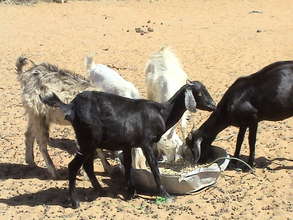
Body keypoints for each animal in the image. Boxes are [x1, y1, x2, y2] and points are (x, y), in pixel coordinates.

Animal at [40, 80, 216, 208]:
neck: (162, 112)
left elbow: (129, 166)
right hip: (88, 141)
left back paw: (100, 190)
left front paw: (131, 192)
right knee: (73, 166)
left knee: (88, 166)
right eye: (199, 92)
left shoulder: (127, 144)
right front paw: (165, 195)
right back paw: (75, 202)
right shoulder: (146, 143)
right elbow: (154, 168)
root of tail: (72, 106)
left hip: (89, 143)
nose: (213, 105)